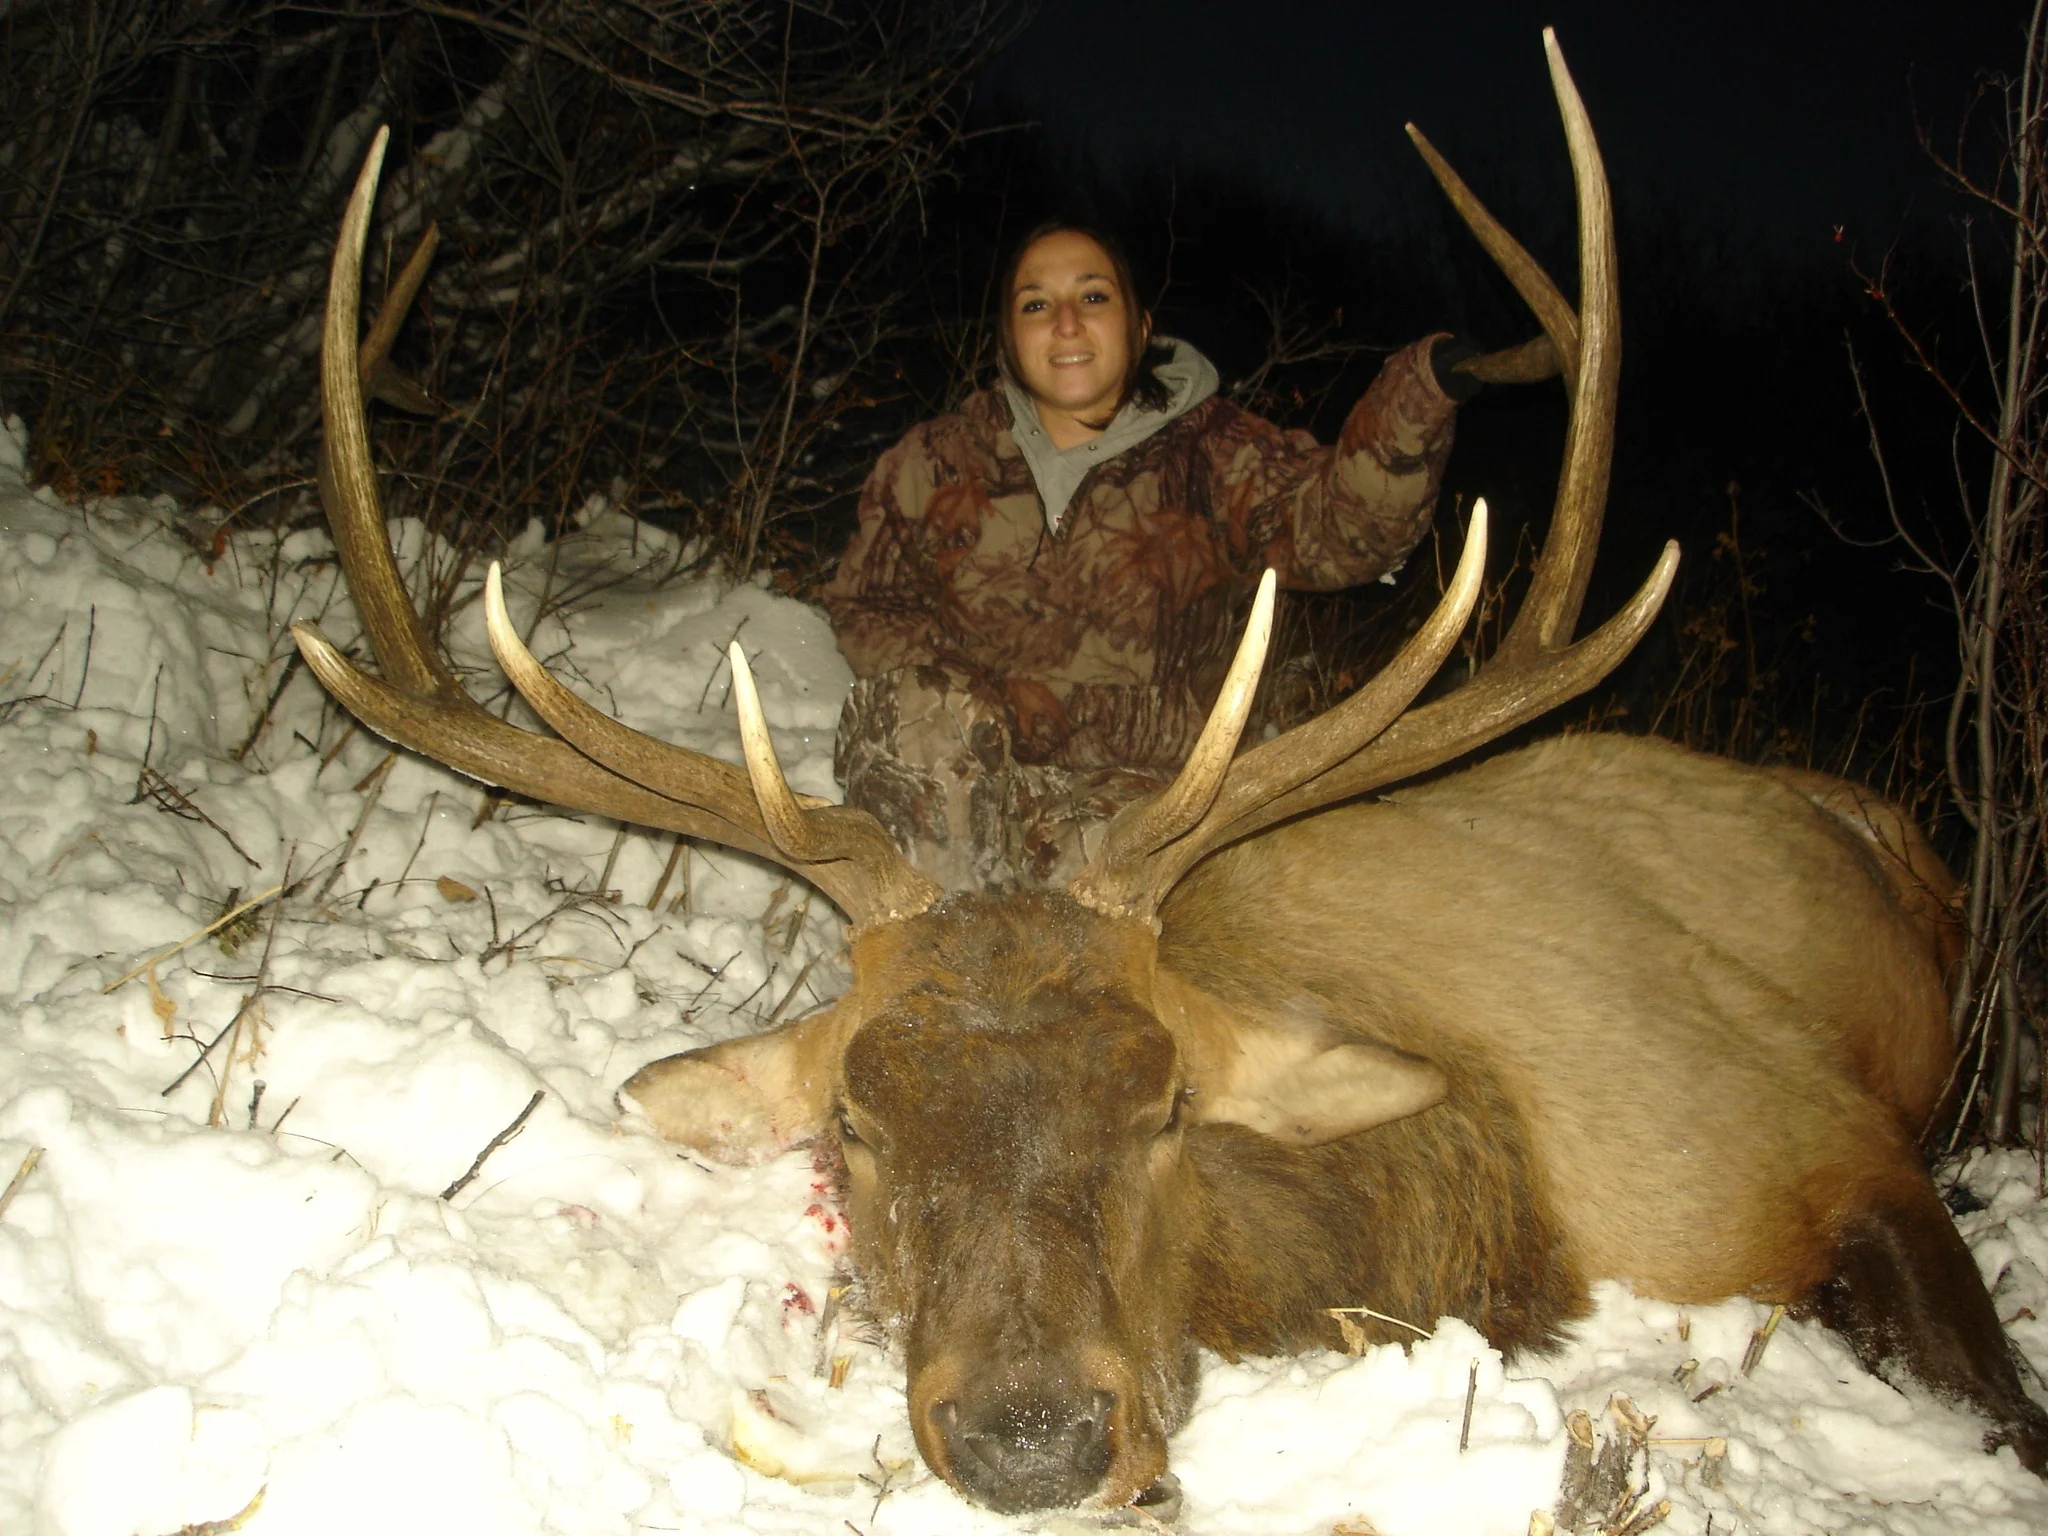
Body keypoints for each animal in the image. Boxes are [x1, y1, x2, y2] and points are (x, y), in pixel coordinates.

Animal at [288, 31, 2048, 1517]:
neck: (1503, 1199)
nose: (1034, 1436)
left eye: (1168, 1104)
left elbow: (1998, 1405)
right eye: (854, 1119)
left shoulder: (1814, 1136)